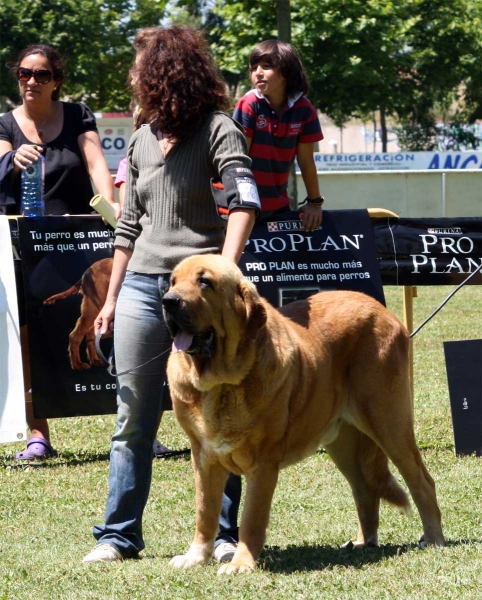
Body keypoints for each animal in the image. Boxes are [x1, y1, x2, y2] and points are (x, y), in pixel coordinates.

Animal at [163, 255, 444, 576]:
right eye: (172, 282)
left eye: (204, 281)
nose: (168, 301)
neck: (221, 383)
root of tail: (385, 312)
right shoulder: (204, 457)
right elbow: (205, 513)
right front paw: (195, 558)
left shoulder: (263, 463)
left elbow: (251, 519)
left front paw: (241, 563)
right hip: (344, 445)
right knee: (364, 490)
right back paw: (364, 542)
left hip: (389, 424)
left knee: (422, 482)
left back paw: (434, 539)